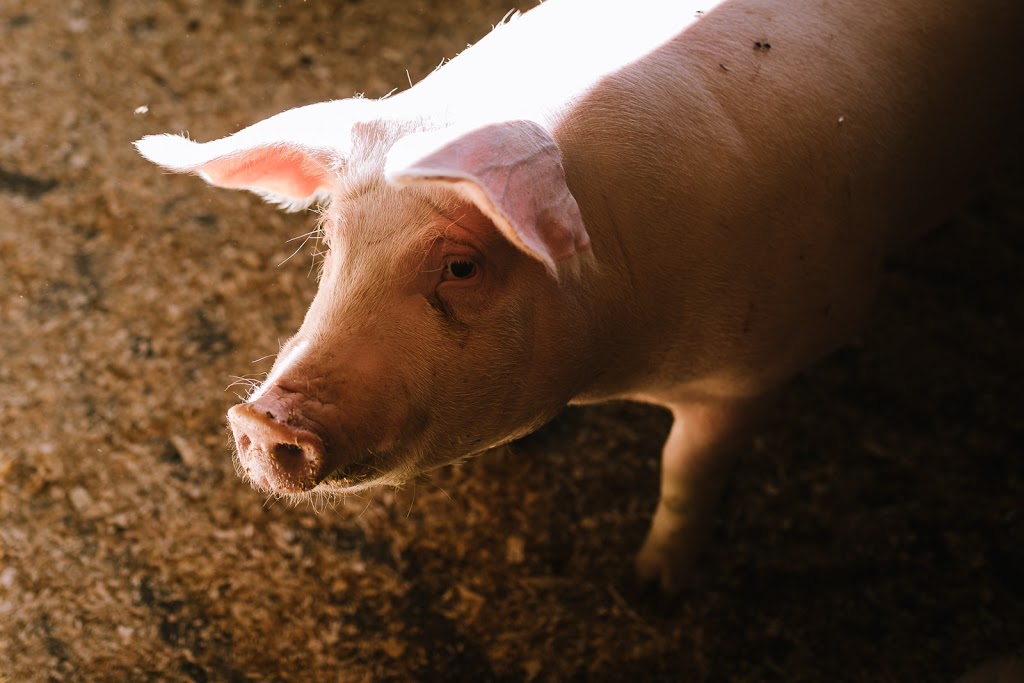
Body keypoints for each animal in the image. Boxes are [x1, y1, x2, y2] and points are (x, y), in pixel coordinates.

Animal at [136, 0, 1024, 593]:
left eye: (463, 267)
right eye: (331, 239)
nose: (262, 420)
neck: (616, 366)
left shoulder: (757, 368)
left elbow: (686, 471)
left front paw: (650, 590)